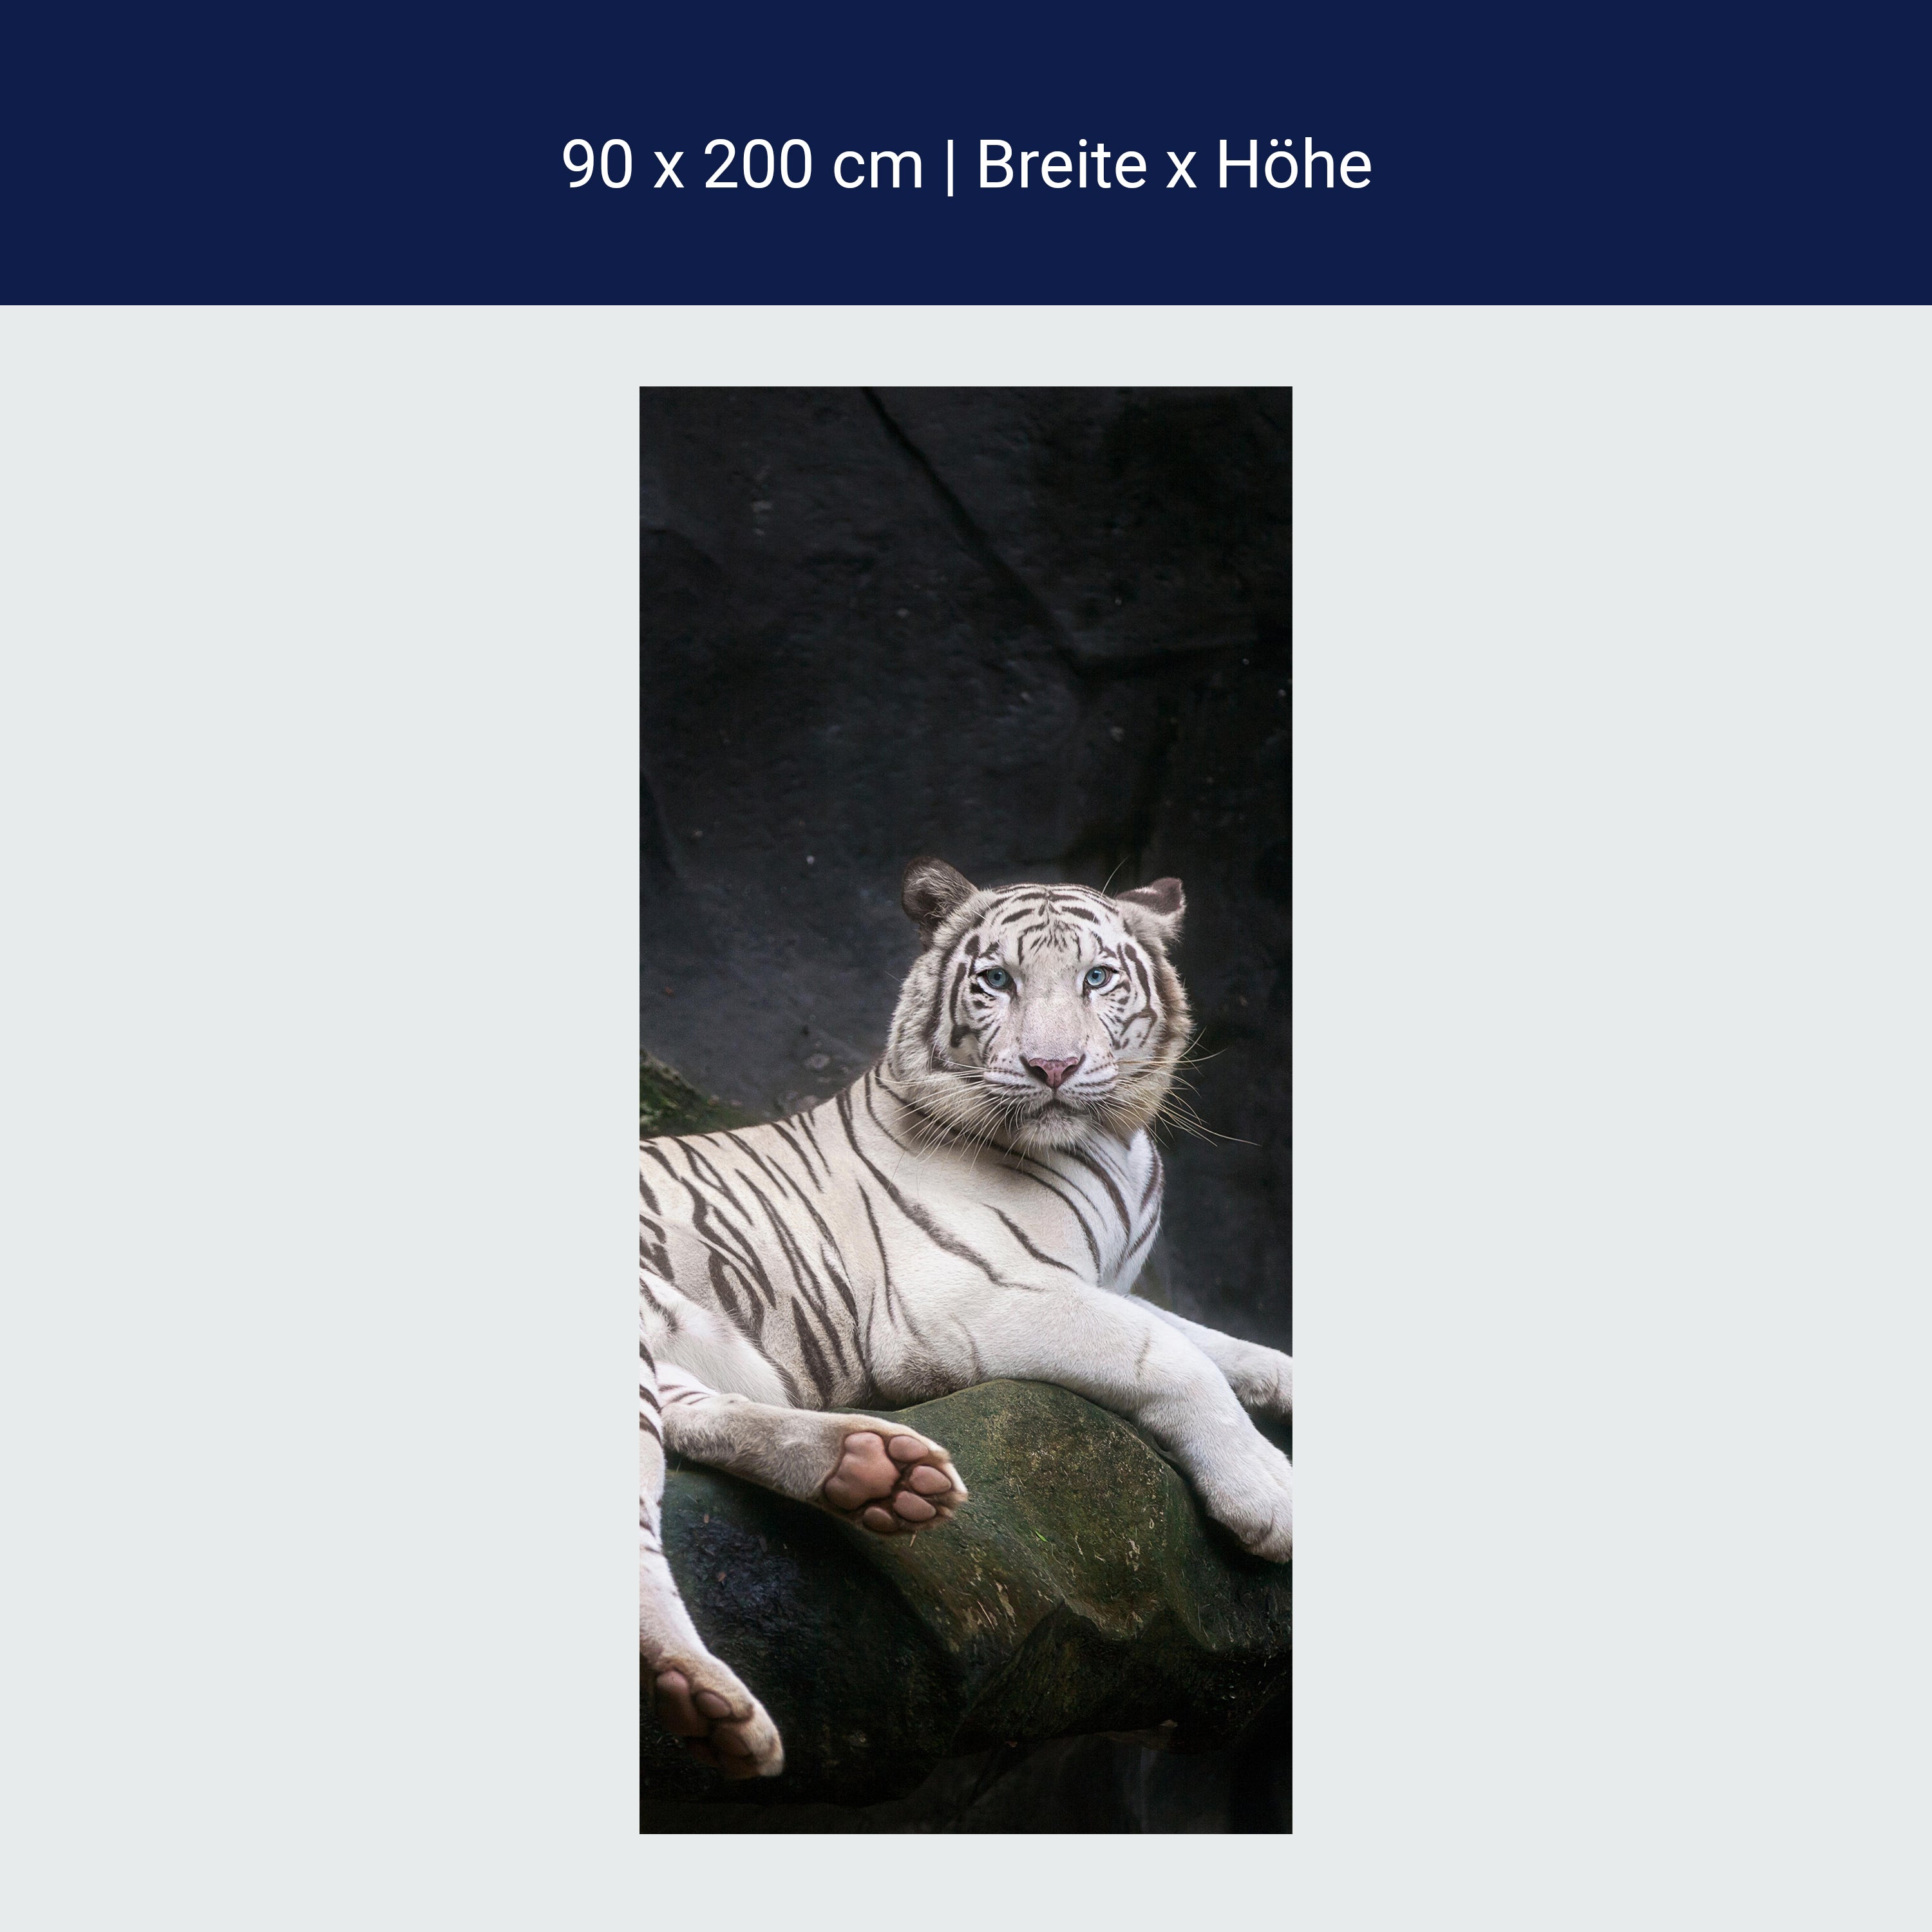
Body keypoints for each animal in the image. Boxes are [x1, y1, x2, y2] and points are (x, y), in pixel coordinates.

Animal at [640, 856, 1294, 1779]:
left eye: (1097, 979)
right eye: (998, 981)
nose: (1053, 1066)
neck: (1112, 1147)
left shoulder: (1101, 1281)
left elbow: (1224, 1345)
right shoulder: (965, 1297)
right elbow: (1168, 1356)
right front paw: (1271, 1494)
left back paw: (874, 1471)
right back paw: (705, 1699)